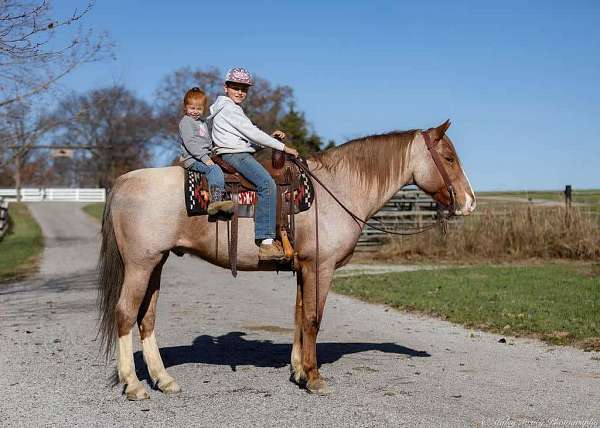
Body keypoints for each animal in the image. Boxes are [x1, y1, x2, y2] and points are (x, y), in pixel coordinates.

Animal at [97, 119, 474, 398]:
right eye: (449, 158)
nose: (469, 202)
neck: (333, 191)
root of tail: (123, 182)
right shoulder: (320, 267)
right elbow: (313, 318)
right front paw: (315, 378)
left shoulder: (303, 267)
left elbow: (298, 316)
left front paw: (298, 371)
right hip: (140, 265)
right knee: (125, 314)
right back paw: (134, 385)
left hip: (156, 264)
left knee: (146, 318)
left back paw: (164, 380)